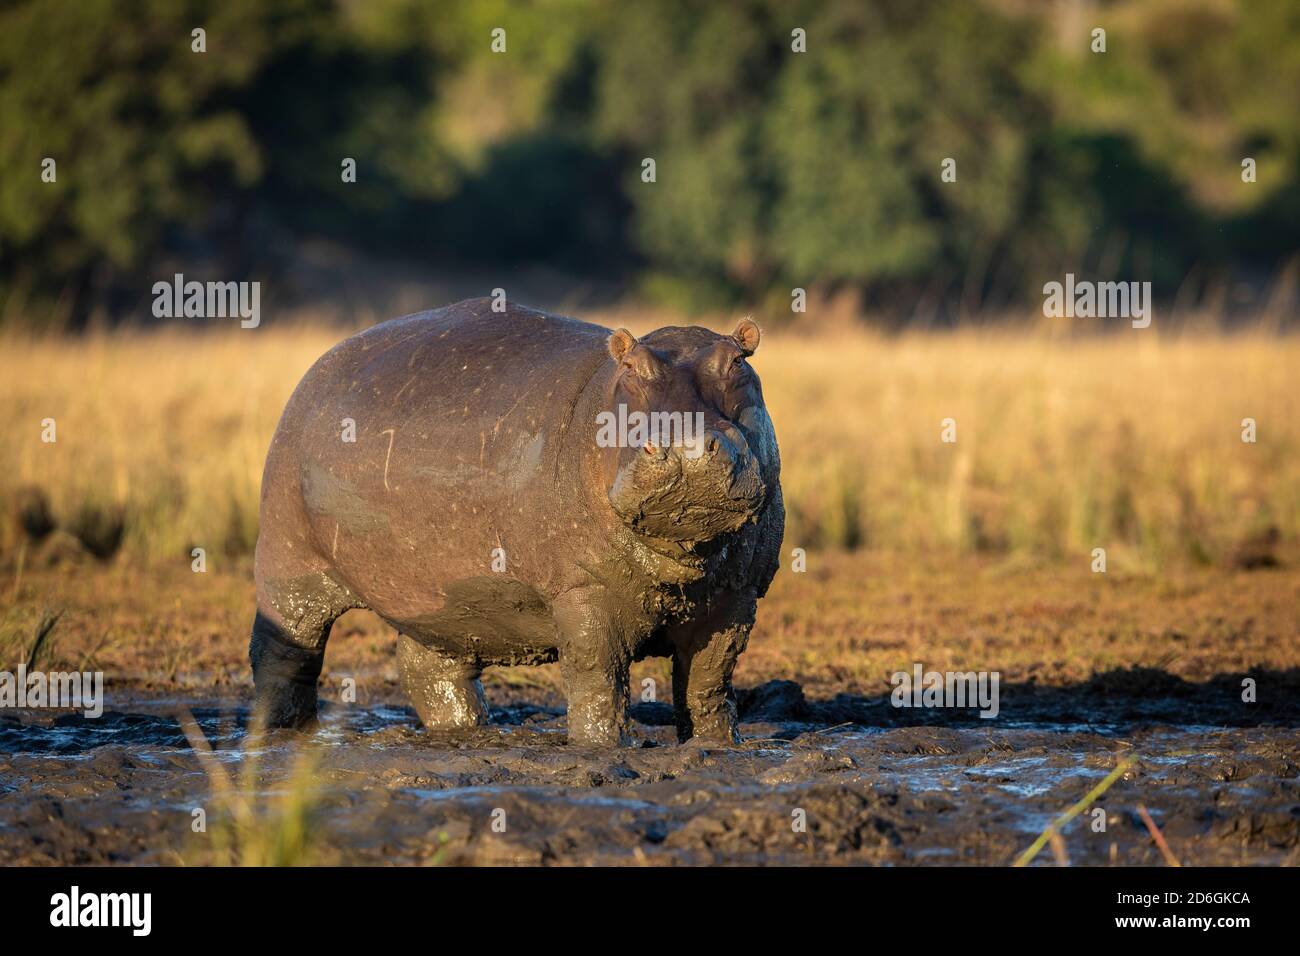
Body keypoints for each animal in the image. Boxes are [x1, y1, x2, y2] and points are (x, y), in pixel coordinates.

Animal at [249, 295, 785, 743]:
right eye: (632, 367)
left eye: (738, 361)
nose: (688, 445)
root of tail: (318, 367)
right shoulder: (582, 591)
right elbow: (598, 675)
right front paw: (601, 747)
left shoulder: (737, 597)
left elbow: (710, 679)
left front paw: (719, 745)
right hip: (287, 558)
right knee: (285, 653)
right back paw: (280, 731)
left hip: (445, 604)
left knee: (429, 666)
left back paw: (466, 731)